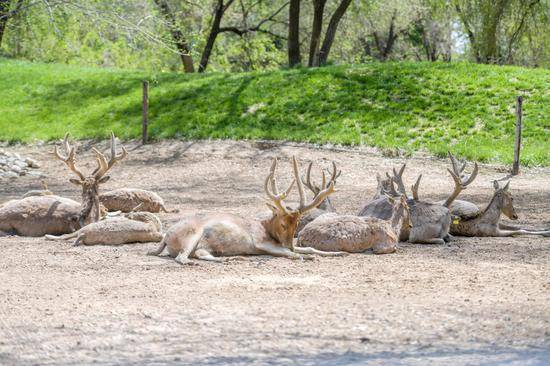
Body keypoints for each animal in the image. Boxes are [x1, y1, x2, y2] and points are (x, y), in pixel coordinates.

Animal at [149, 156, 348, 264]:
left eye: (297, 224)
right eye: (283, 224)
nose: (289, 244)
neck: (267, 228)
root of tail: (166, 237)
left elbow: (310, 248)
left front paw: (339, 252)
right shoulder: (260, 243)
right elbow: (291, 254)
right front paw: (301, 257)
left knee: (199, 253)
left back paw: (231, 258)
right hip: (192, 235)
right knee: (183, 257)